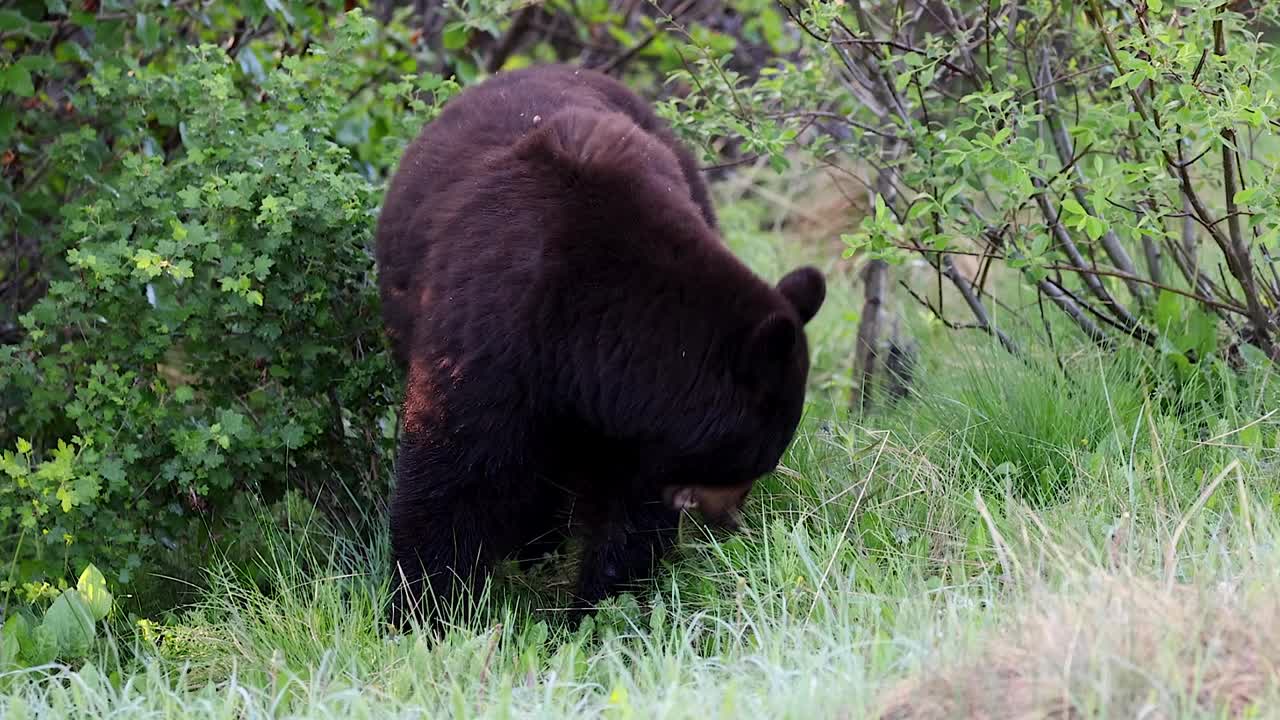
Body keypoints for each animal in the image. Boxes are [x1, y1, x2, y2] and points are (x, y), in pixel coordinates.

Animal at [373, 63, 824, 622]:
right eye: (754, 456)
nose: (731, 517)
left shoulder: (632, 424)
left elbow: (627, 512)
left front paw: (598, 608)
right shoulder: (492, 334)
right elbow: (454, 470)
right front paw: (426, 609)